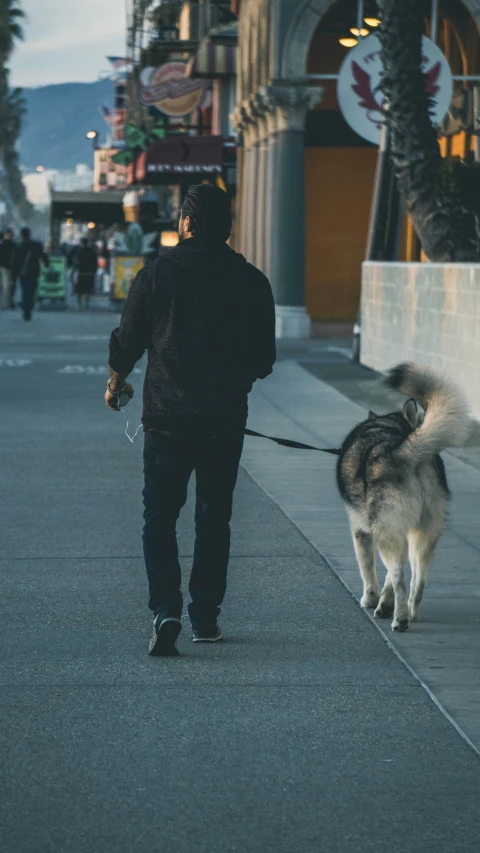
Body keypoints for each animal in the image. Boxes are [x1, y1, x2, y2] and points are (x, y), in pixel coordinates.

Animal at [338, 362, 468, 628]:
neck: (390, 427)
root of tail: (404, 451)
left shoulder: (361, 530)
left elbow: (369, 570)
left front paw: (371, 600)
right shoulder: (404, 533)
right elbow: (390, 576)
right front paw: (383, 603)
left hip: (386, 532)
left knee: (398, 575)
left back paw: (399, 619)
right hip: (423, 534)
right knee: (417, 579)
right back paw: (409, 612)